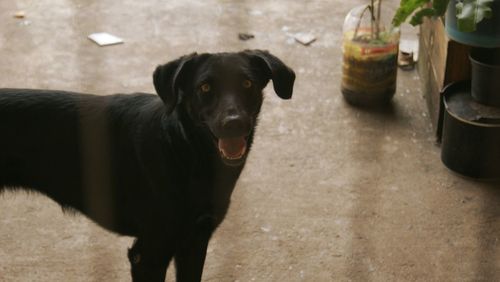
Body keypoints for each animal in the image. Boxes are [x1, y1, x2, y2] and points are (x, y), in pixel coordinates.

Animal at [0, 49, 294, 280]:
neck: (183, 149)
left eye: (246, 83)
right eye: (205, 88)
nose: (233, 123)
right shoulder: (149, 253)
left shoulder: (194, 241)